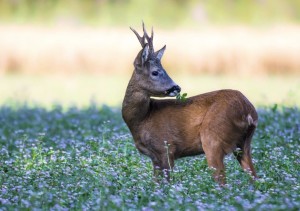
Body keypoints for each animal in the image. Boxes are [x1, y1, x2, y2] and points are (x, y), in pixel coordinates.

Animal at [122, 23, 258, 185]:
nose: (176, 87)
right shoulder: (155, 157)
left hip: (213, 139)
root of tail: (248, 111)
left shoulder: (166, 148)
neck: (142, 119)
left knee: (222, 182)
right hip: (244, 144)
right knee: (255, 177)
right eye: (155, 72)